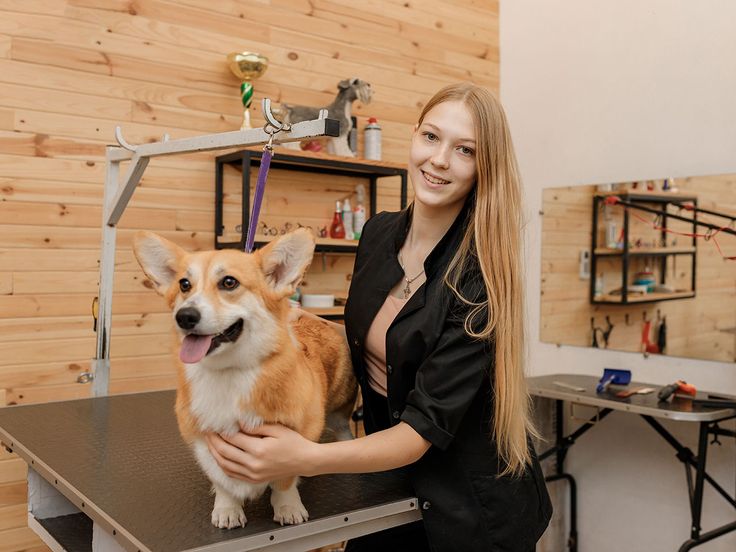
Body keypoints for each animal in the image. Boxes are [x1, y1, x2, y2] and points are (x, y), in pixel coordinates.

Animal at [135, 230, 360, 532]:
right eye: (184, 284)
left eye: (229, 282)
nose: (185, 316)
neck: (231, 372)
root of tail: (322, 322)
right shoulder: (203, 438)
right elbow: (220, 478)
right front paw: (227, 507)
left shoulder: (297, 435)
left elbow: (285, 478)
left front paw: (288, 507)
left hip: (338, 413)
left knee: (343, 432)